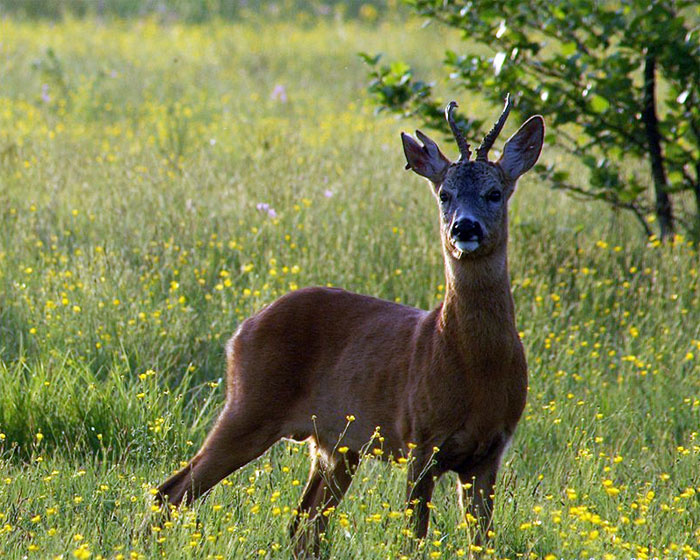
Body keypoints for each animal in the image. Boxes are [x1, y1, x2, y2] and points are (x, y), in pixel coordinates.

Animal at [156, 97, 544, 556]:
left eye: (494, 193)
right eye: (444, 194)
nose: (464, 227)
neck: (474, 366)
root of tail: (240, 332)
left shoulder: (489, 452)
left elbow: (481, 542)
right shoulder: (420, 439)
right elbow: (413, 539)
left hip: (334, 445)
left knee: (302, 524)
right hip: (249, 405)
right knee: (171, 491)